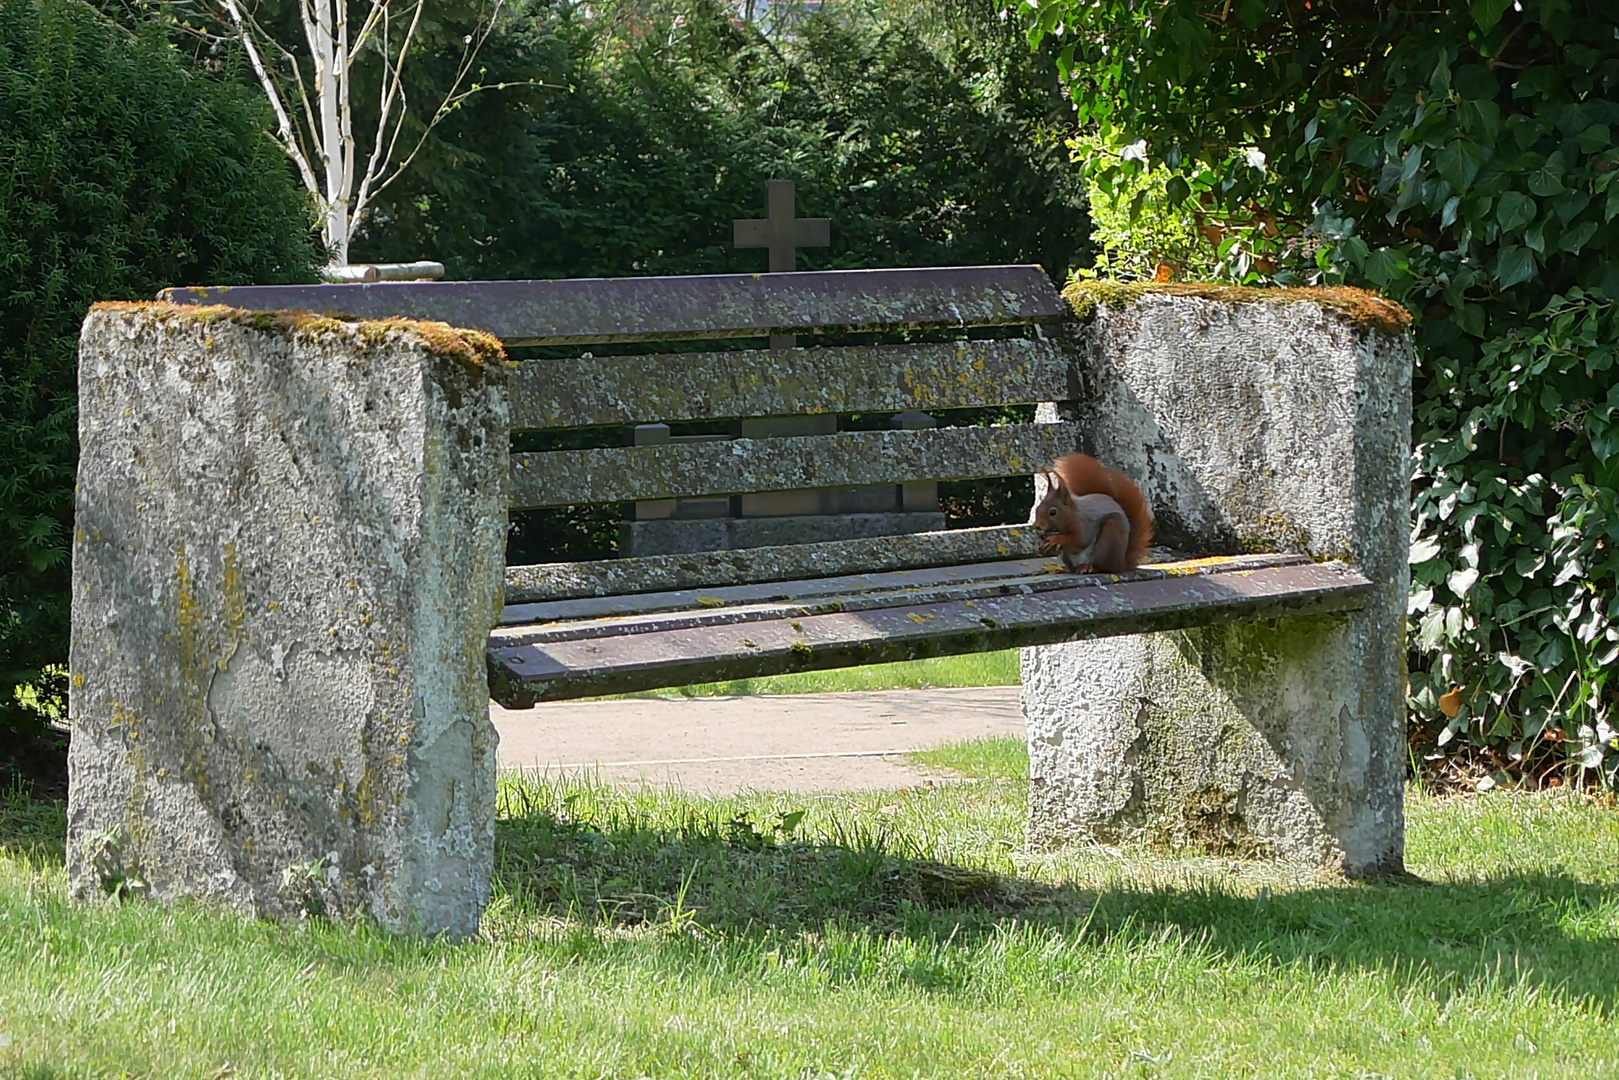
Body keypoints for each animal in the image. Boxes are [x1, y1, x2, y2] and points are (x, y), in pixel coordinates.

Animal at [1029, 453, 1159, 573]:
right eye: (1037, 507)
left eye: (1053, 512)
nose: (1036, 526)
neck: (1072, 515)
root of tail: (1121, 564)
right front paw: (1039, 546)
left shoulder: (1084, 522)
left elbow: (1081, 540)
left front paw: (1057, 539)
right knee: (1072, 568)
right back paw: (1063, 570)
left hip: (1109, 537)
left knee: (1105, 567)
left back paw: (1090, 567)